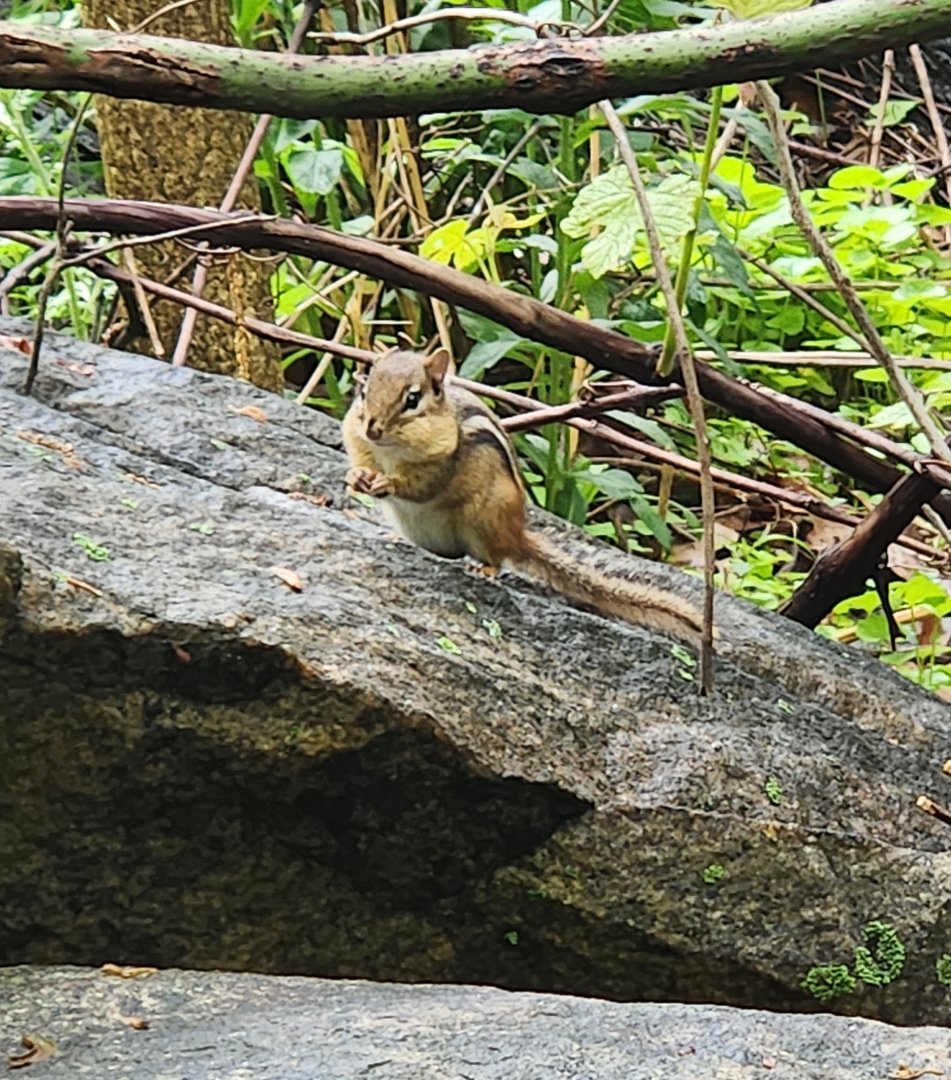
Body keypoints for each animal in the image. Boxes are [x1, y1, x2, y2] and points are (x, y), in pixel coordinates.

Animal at [342, 348, 708, 644]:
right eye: (364, 390)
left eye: (412, 400)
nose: (373, 427)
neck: (389, 451)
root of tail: (518, 534)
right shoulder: (358, 438)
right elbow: (359, 454)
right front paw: (356, 477)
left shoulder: (441, 463)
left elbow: (419, 485)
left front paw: (388, 484)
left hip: (484, 520)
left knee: (497, 557)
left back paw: (484, 569)